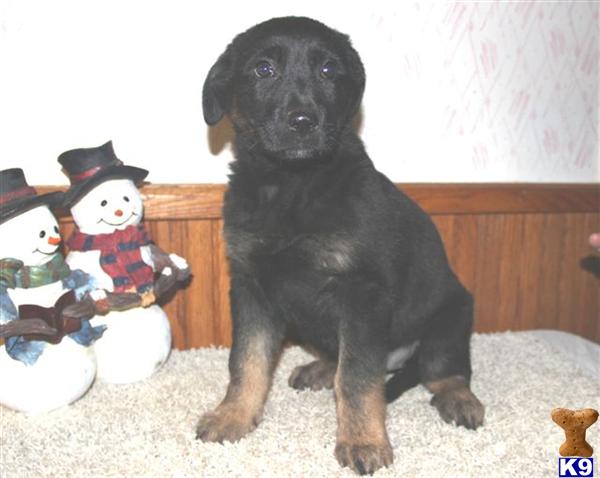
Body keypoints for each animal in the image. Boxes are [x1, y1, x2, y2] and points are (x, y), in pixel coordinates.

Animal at [197, 16, 484, 475]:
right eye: (263, 69)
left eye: (329, 70)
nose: (302, 121)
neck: (292, 184)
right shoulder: (251, 287)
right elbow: (246, 361)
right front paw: (233, 415)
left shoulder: (362, 293)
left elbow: (357, 378)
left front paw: (363, 440)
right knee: (342, 357)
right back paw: (319, 369)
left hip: (450, 317)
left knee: (443, 369)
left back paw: (459, 399)